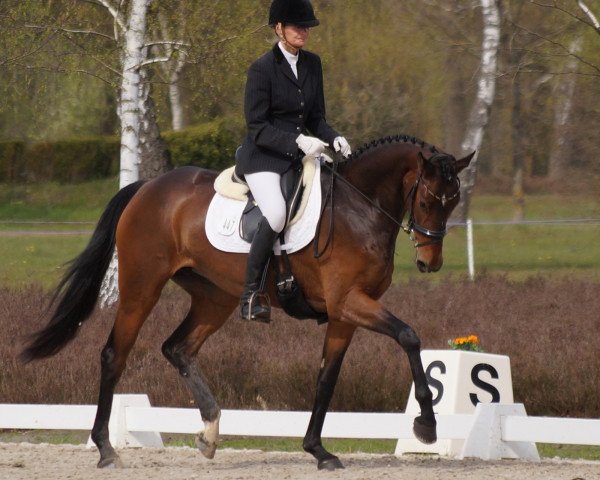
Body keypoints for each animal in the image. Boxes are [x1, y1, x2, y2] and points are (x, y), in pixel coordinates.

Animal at [21, 134, 474, 468]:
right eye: (428, 200)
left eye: (453, 202)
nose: (430, 263)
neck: (358, 210)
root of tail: (147, 187)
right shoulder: (349, 303)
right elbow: (409, 336)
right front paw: (427, 425)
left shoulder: (344, 314)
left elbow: (326, 379)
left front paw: (318, 450)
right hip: (141, 286)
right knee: (115, 354)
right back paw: (105, 449)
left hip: (214, 297)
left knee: (177, 348)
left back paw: (209, 432)